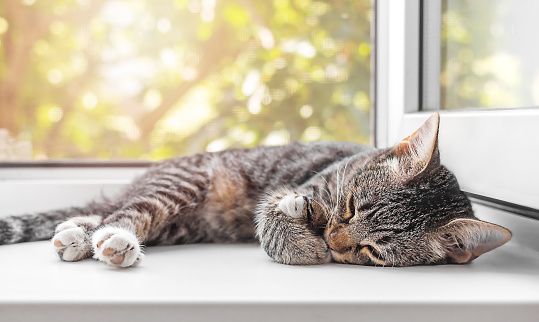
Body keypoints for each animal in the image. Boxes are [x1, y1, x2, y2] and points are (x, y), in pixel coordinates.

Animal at [0, 113, 510, 266]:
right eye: (349, 206)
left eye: (372, 251)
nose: (333, 240)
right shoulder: (305, 185)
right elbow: (275, 215)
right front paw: (305, 239)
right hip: (179, 188)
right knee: (126, 214)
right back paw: (112, 241)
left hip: (181, 225)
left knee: (108, 214)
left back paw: (75, 235)